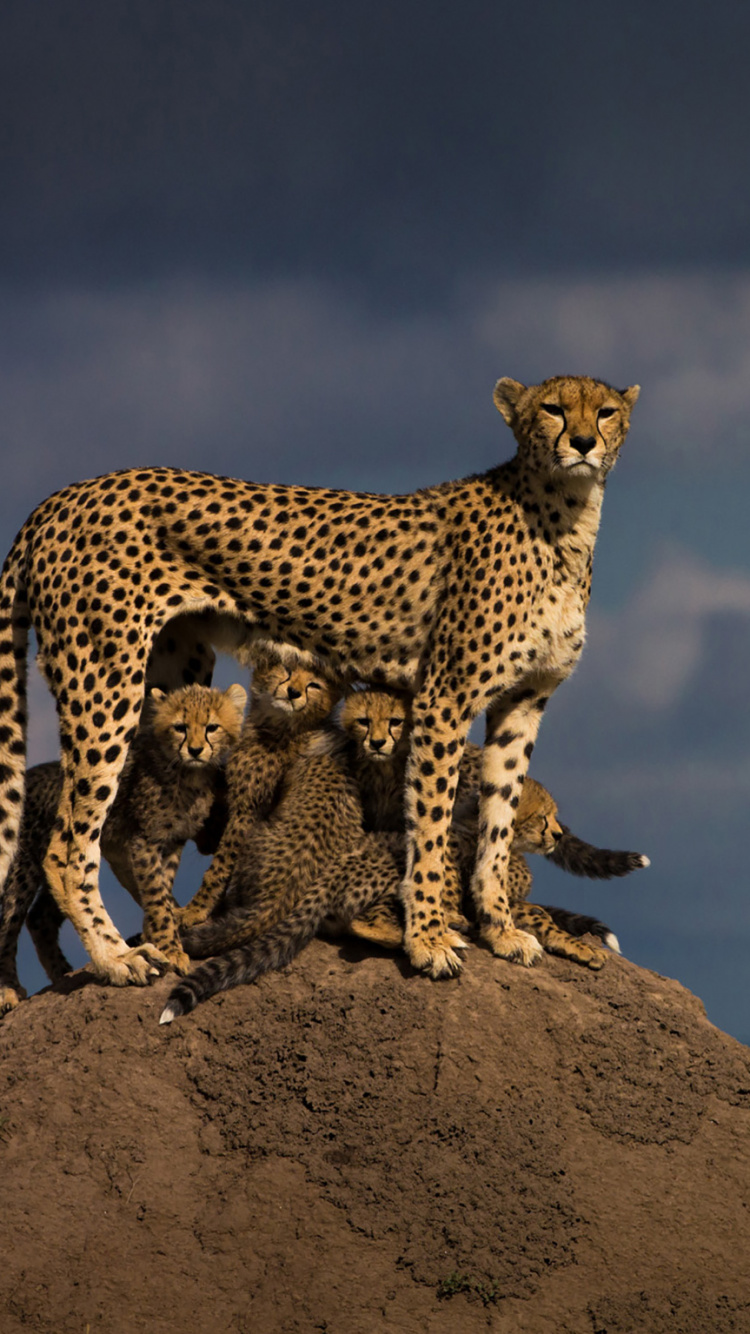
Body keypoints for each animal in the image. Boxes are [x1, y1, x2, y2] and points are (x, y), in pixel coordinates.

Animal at [0, 683, 244, 1013]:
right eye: (180, 727)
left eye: (212, 727)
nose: (194, 750)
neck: (188, 773)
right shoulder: (145, 841)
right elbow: (156, 895)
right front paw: (170, 948)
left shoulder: (172, 843)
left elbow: (163, 890)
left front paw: (160, 936)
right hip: (25, 867)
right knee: (10, 920)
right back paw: (8, 989)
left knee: (41, 916)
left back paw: (62, 972)